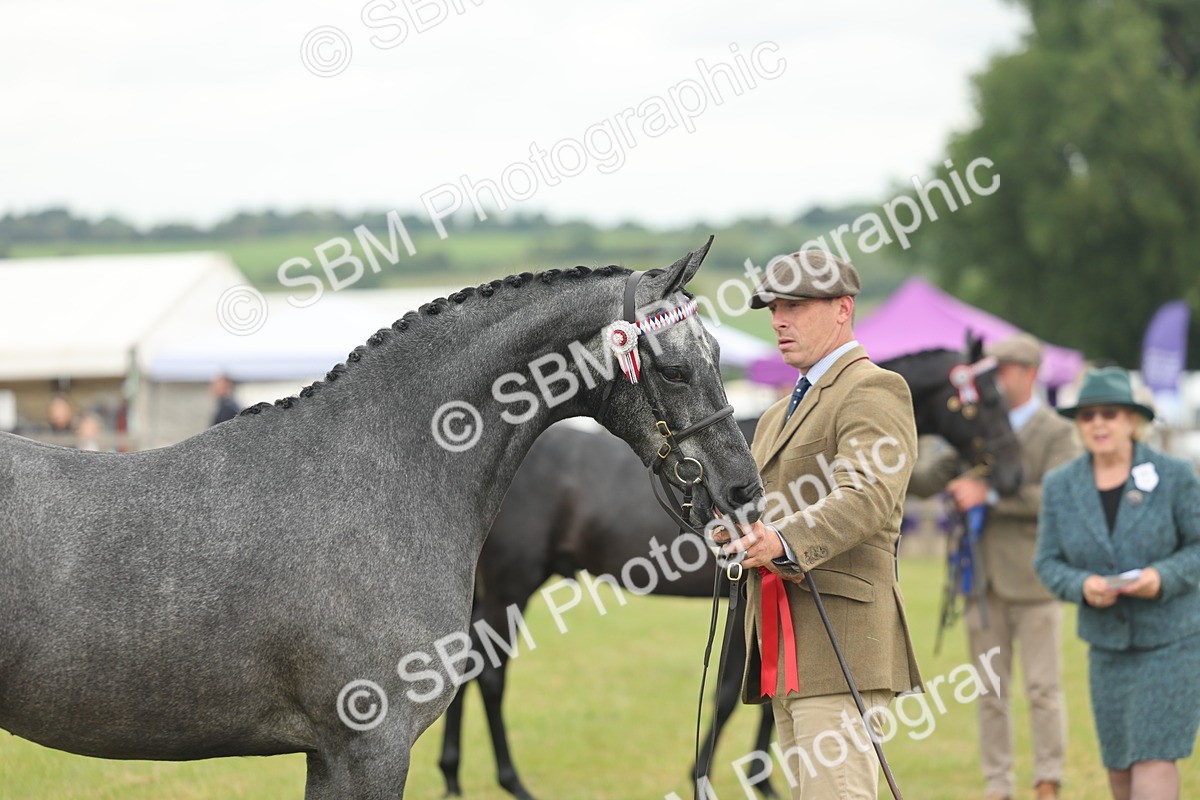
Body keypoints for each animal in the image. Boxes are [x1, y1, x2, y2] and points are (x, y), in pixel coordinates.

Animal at [0, 240, 766, 798]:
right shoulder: (369, 746)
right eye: (674, 369)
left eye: (720, 355)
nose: (743, 487)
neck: (379, 473)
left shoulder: (333, 754)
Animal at [437, 337, 1021, 799]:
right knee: (491, 676)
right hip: (512, 585)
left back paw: (452, 775)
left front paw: (756, 778)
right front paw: (727, 777)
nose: (1011, 473)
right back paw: (513, 782)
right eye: (986, 400)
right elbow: (738, 694)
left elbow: (763, 688)